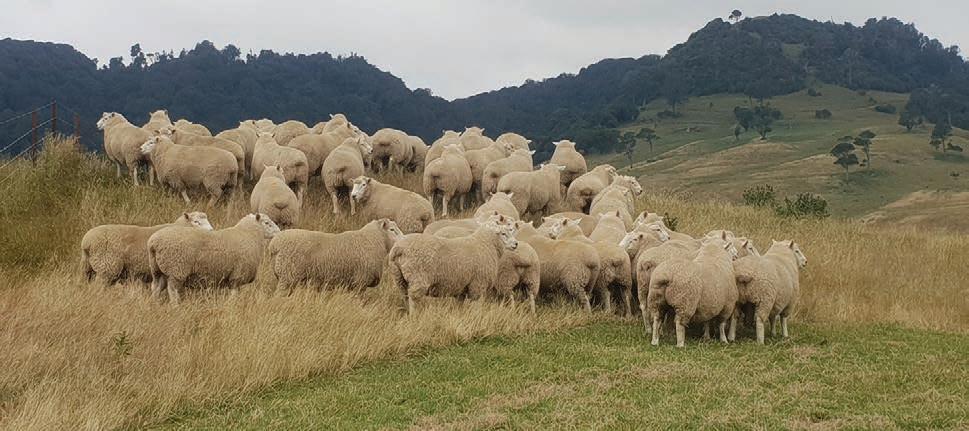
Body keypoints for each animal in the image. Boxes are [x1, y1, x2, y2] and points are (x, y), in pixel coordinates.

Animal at [147, 213, 280, 303]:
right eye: (267, 223)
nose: (279, 232)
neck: (249, 234)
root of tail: (154, 243)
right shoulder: (236, 277)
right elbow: (234, 296)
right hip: (177, 270)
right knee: (172, 291)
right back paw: (175, 306)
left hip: (158, 270)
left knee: (156, 287)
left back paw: (155, 304)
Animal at [268, 218, 404, 294]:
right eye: (392, 230)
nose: (404, 240)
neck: (373, 240)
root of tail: (275, 244)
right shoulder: (360, 282)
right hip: (287, 277)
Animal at [389, 217, 520, 314]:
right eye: (503, 233)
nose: (516, 244)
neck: (486, 243)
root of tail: (399, 247)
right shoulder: (478, 285)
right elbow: (477, 307)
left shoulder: (462, 288)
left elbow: (460, 305)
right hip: (418, 277)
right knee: (414, 299)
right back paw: (415, 316)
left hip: (399, 278)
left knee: (405, 296)